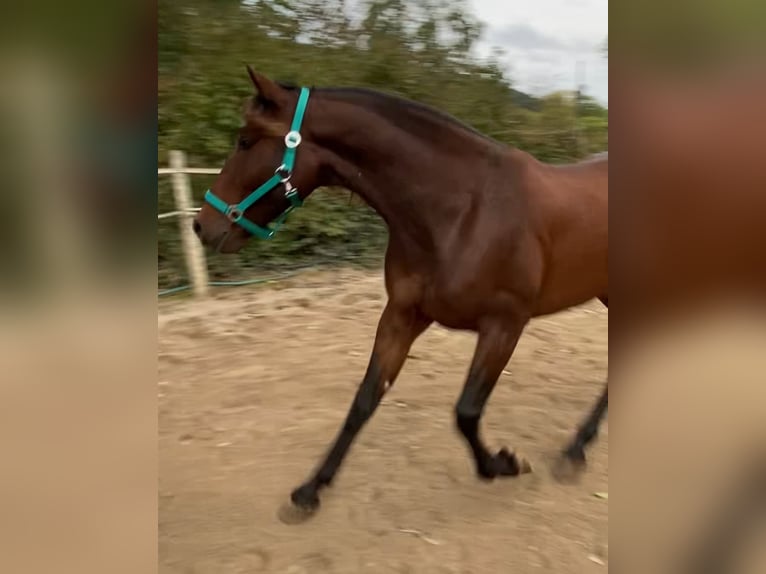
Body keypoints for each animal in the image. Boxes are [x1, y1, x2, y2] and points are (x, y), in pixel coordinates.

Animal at [194, 68, 612, 516]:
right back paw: (577, 449)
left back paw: (574, 452)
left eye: (245, 141)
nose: (202, 225)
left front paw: (503, 464)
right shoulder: (403, 314)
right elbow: (365, 399)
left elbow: (466, 410)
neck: (461, 212)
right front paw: (310, 490)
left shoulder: (505, 324)